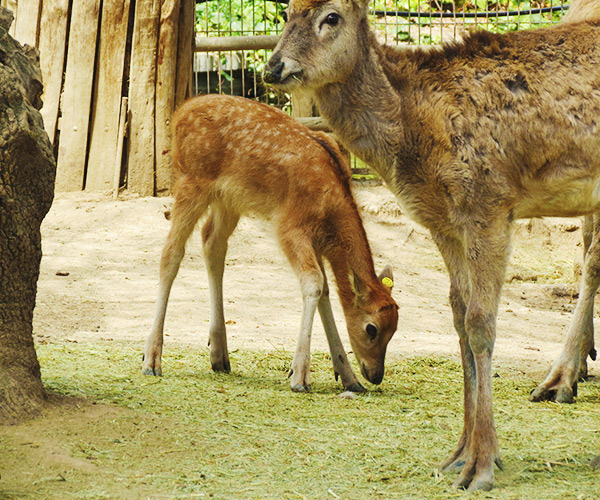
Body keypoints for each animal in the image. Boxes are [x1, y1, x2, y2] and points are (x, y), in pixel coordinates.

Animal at [142, 92, 398, 392]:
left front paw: (348, 378)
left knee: (211, 242)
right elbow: (314, 284)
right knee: (171, 252)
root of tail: (180, 112)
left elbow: (325, 290)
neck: (331, 207)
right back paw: (151, 360)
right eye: (372, 328)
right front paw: (299, 376)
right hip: (191, 182)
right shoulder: (291, 226)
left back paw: (219, 356)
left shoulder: (316, 242)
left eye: (395, 329)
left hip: (228, 199)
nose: (375, 375)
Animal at [266, 0, 600, 490]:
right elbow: (459, 319)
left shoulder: (489, 206)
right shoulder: (442, 223)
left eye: (332, 17)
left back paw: (559, 382)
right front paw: (458, 456)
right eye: (288, 12)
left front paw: (482, 467)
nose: (274, 66)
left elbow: (481, 325)